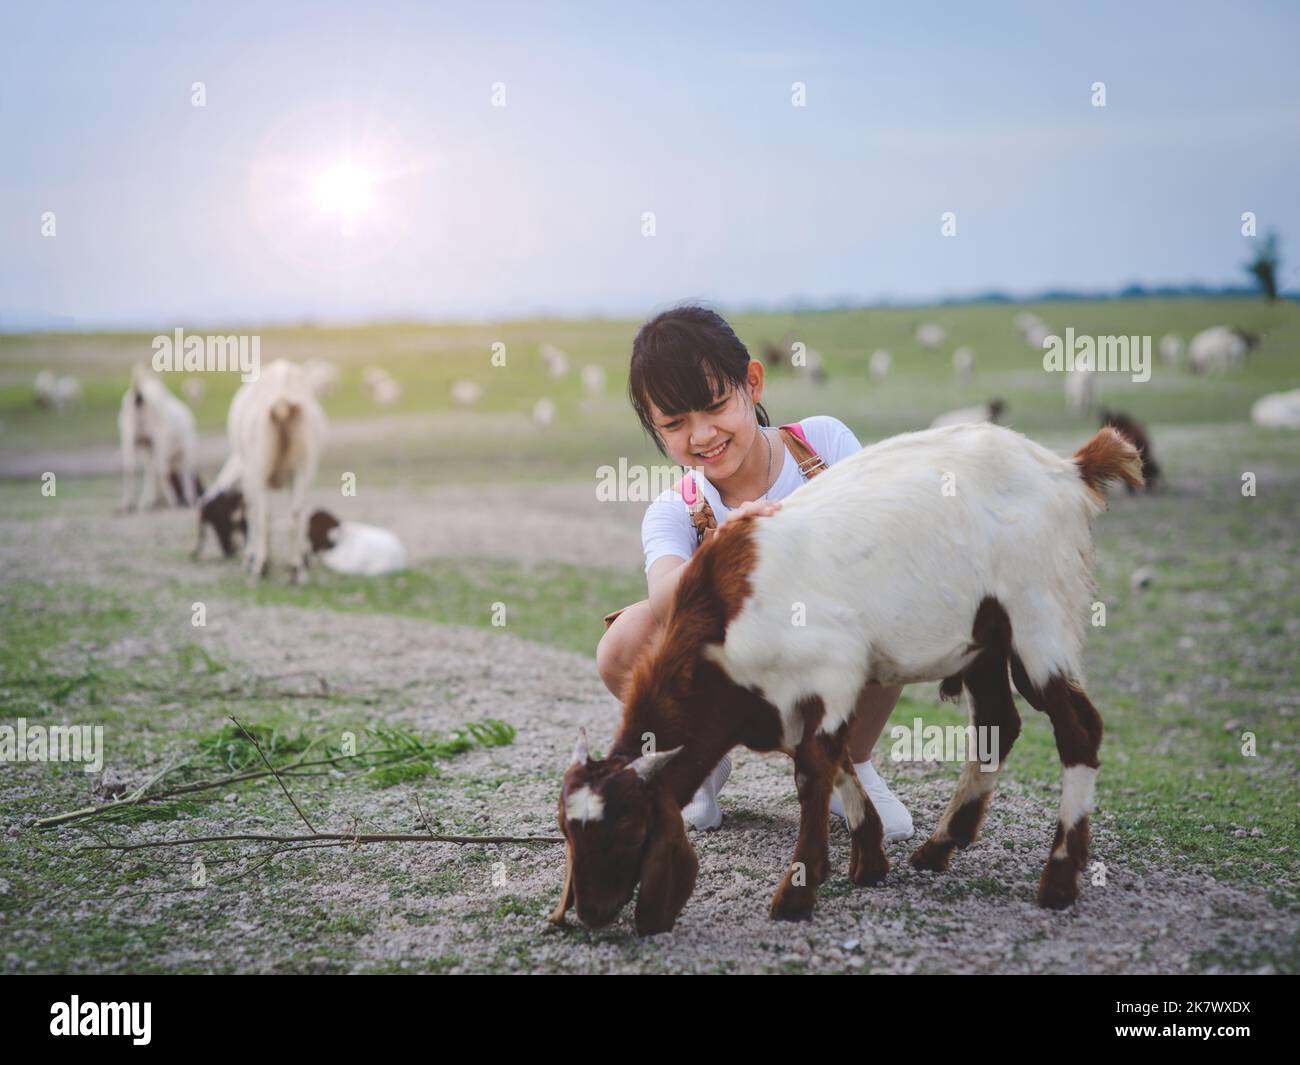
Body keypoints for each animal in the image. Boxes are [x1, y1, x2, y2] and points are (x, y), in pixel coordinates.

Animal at [118, 365, 201, 510]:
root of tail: (139, 394)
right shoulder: (184, 449)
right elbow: (185, 474)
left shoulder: (146, 445)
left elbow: (149, 470)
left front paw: (148, 501)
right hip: (161, 440)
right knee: (164, 470)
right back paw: (173, 500)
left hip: (129, 438)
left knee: (130, 468)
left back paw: (130, 503)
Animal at [551, 423, 1142, 933]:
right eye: (566, 832)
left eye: (629, 831)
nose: (591, 913)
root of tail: (1068, 469)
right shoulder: (792, 701)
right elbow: (833, 761)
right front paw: (870, 860)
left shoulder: (831, 671)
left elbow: (814, 771)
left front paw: (796, 894)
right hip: (986, 638)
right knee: (998, 724)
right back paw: (939, 848)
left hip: (1038, 615)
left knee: (1078, 729)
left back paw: (1059, 880)